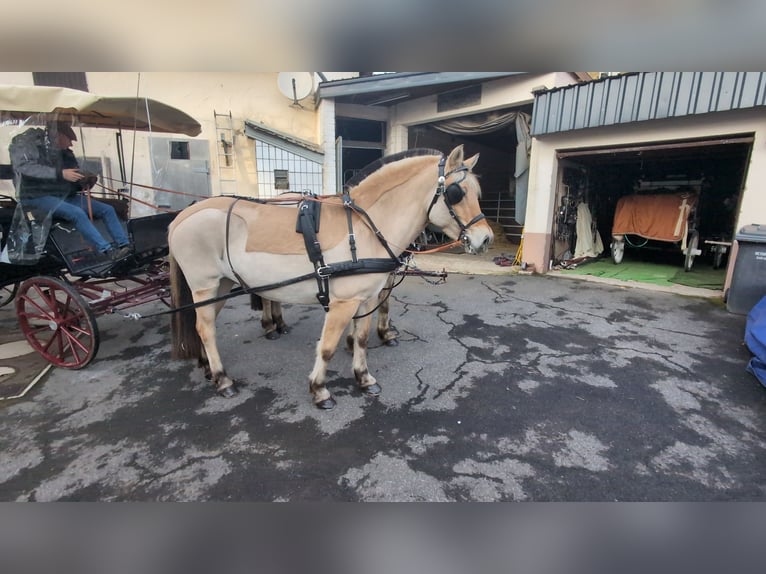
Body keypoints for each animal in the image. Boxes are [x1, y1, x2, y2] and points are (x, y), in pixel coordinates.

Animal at [169, 146, 496, 412]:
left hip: (220, 285)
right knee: (206, 328)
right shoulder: (342, 303)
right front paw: (319, 390)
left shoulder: (366, 299)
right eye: (457, 193)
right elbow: (326, 347)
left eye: (477, 193)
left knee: (203, 325)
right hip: (205, 285)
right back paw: (223, 380)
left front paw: (364, 378)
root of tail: (181, 217)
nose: (485, 239)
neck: (365, 228)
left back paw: (208, 367)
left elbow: (362, 338)